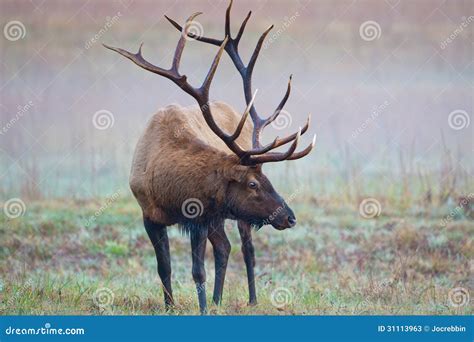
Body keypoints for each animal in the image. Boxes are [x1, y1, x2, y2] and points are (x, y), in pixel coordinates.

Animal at [105, 0, 316, 316]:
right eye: (253, 184)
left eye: (266, 178)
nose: (289, 217)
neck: (169, 191)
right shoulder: (150, 215)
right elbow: (165, 267)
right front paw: (171, 306)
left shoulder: (201, 217)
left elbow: (197, 271)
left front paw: (202, 309)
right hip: (219, 216)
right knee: (224, 248)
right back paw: (218, 300)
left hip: (232, 217)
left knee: (245, 248)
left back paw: (251, 299)